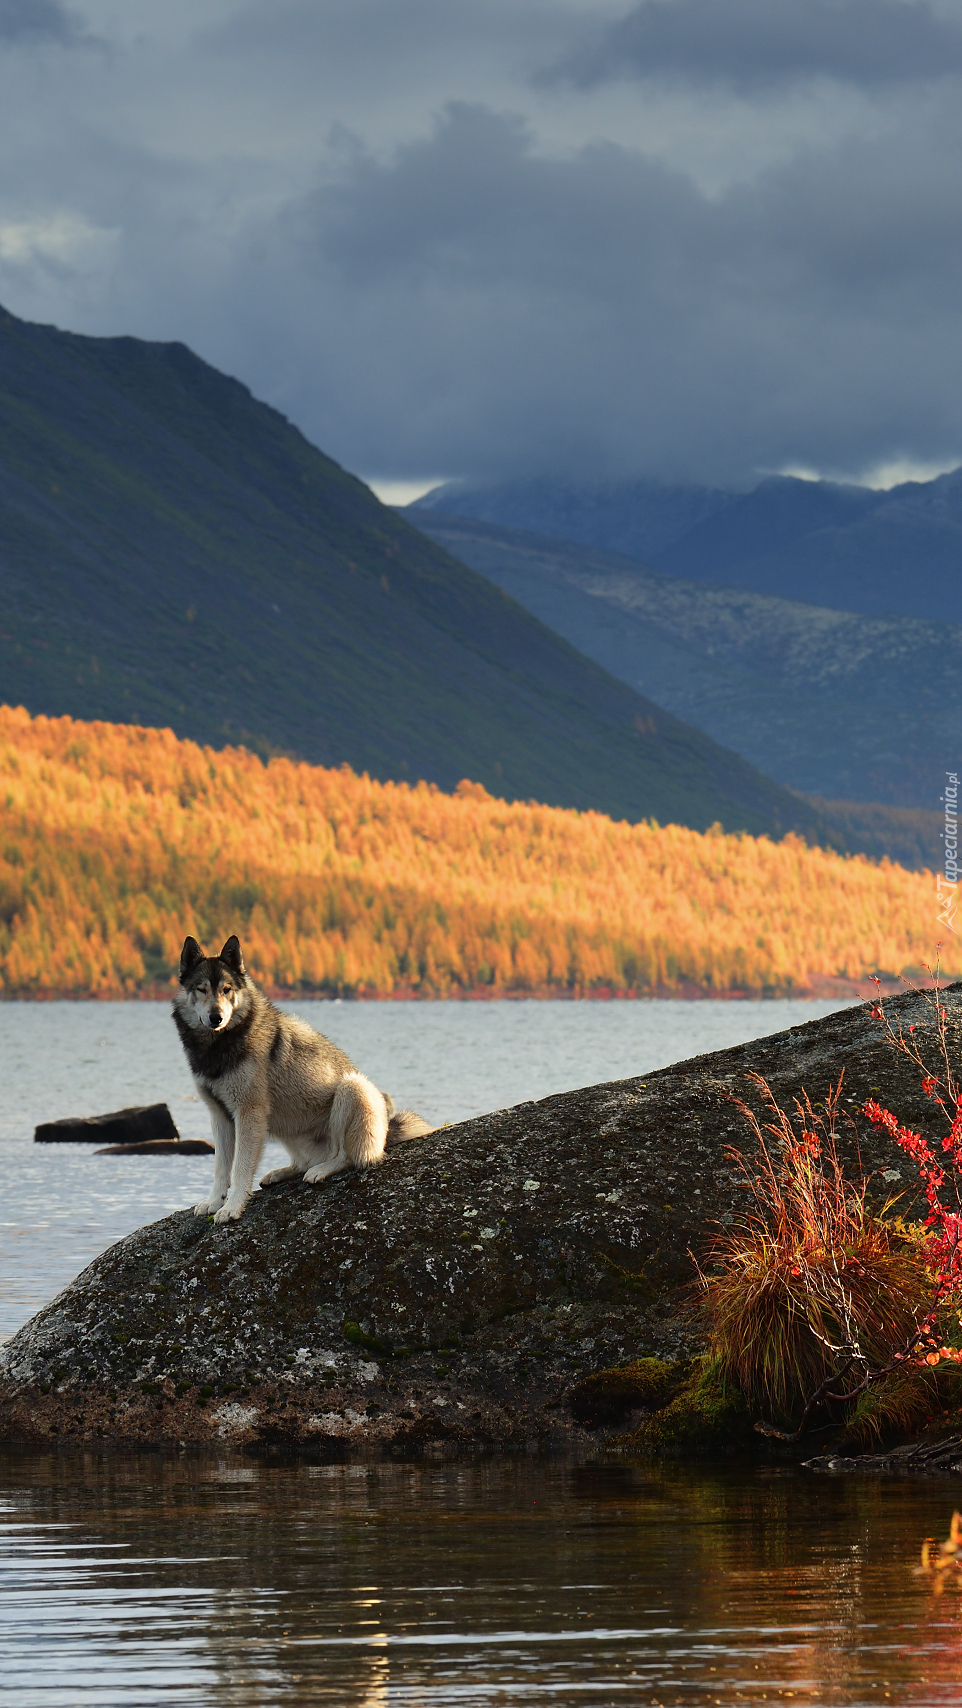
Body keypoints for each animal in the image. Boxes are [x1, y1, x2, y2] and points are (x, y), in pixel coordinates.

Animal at [173, 935, 432, 1229]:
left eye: (227, 990)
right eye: (201, 989)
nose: (216, 1017)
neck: (218, 1045)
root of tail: (387, 1130)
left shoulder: (248, 1114)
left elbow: (239, 1169)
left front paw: (232, 1207)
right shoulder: (220, 1115)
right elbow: (220, 1168)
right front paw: (214, 1202)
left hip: (352, 1088)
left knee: (345, 1156)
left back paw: (321, 1170)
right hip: (285, 1126)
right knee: (301, 1163)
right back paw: (281, 1172)